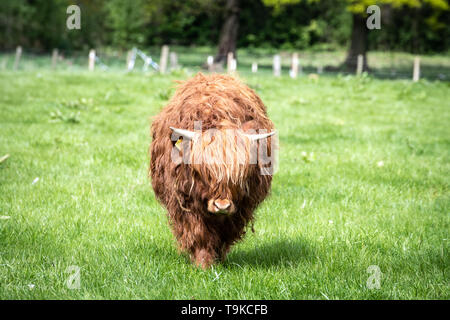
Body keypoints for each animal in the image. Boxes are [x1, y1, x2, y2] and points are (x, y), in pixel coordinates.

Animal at [149, 72, 276, 268]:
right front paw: (203, 264)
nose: (222, 205)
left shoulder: (240, 207)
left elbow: (224, 235)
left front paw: (218, 261)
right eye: (204, 171)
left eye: (239, 174)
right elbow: (199, 233)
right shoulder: (185, 202)